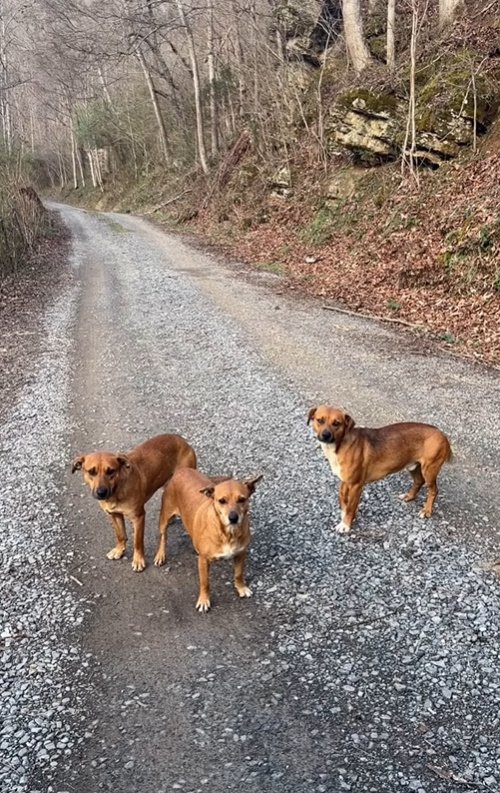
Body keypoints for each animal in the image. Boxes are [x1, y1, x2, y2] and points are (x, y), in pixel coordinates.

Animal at [72, 434, 197, 568]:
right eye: (91, 472)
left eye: (111, 471)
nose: (101, 492)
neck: (117, 490)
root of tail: (180, 439)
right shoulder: (114, 515)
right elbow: (120, 535)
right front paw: (119, 550)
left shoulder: (138, 517)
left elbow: (137, 541)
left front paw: (138, 560)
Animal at [154, 470, 264, 612]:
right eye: (222, 501)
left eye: (242, 499)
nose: (233, 518)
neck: (228, 533)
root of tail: (182, 470)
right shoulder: (203, 561)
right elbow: (205, 582)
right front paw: (204, 600)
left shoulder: (241, 553)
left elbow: (238, 574)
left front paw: (241, 588)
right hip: (165, 518)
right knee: (163, 537)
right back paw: (160, 555)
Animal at [306, 406, 452, 536]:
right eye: (319, 420)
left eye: (336, 423)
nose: (325, 435)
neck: (340, 445)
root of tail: (442, 434)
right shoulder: (344, 481)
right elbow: (342, 499)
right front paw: (347, 515)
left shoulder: (356, 485)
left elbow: (350, 506)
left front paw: (346, 524)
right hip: (414, 467)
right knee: (419, 481)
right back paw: (409, 496)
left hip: (429, 470)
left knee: (433, 490)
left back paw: (426, 511)